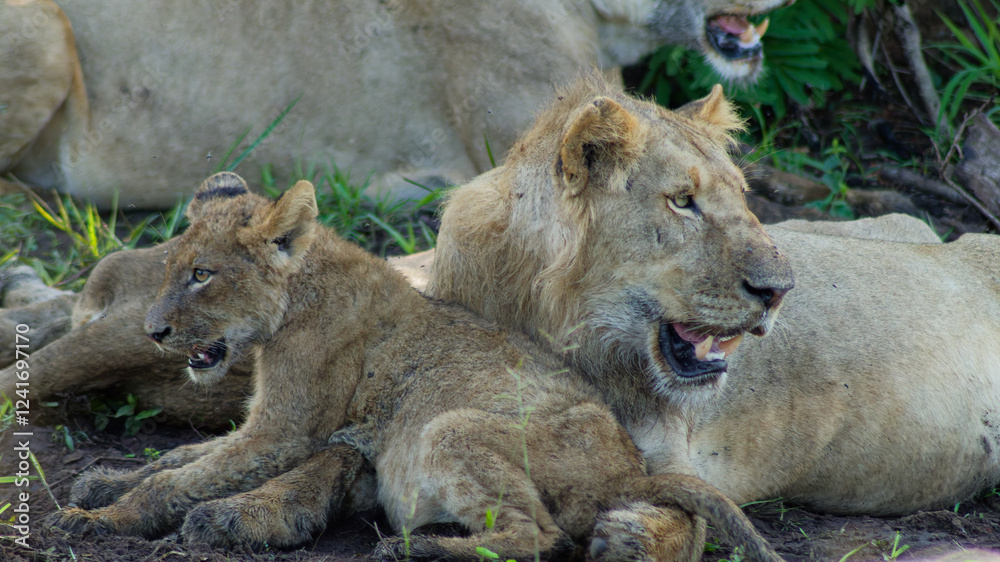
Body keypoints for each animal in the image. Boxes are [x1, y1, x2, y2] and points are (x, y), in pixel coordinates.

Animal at [45, 172, 783, 562]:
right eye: (172, 269)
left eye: (202, 275)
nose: (154, 331)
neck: (292, 302)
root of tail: (632, 471)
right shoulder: (265, 428)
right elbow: (176, 460)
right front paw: (105, 482)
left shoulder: (283, 433)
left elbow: (180, 480)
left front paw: (99, 519)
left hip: (448, 427)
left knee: (538, 536)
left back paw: (411, 548)